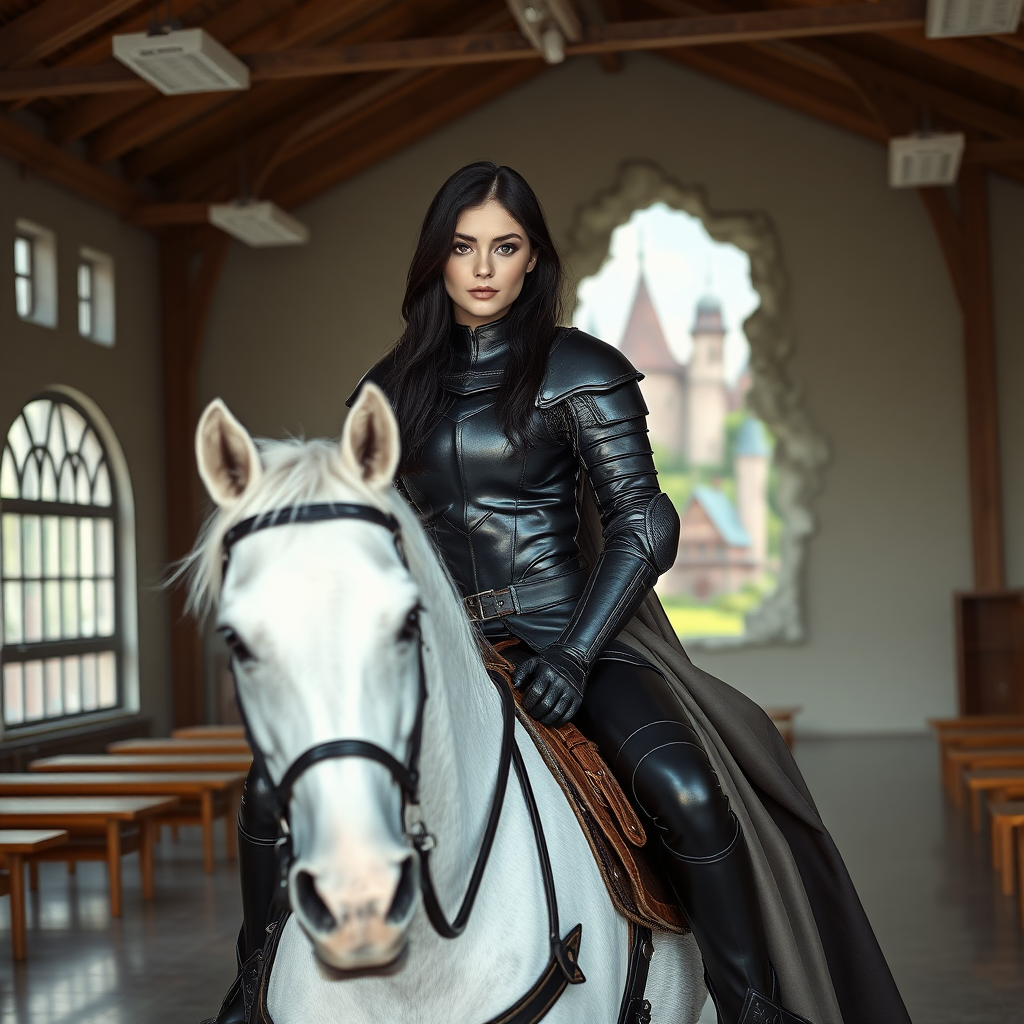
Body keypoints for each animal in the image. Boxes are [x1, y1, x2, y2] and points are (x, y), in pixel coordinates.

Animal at [188, 385, 708, 1024]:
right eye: (236, 640)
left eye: (409, 619)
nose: (358, 899)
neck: (415, 974)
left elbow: (640, 516)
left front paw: (558, 676)